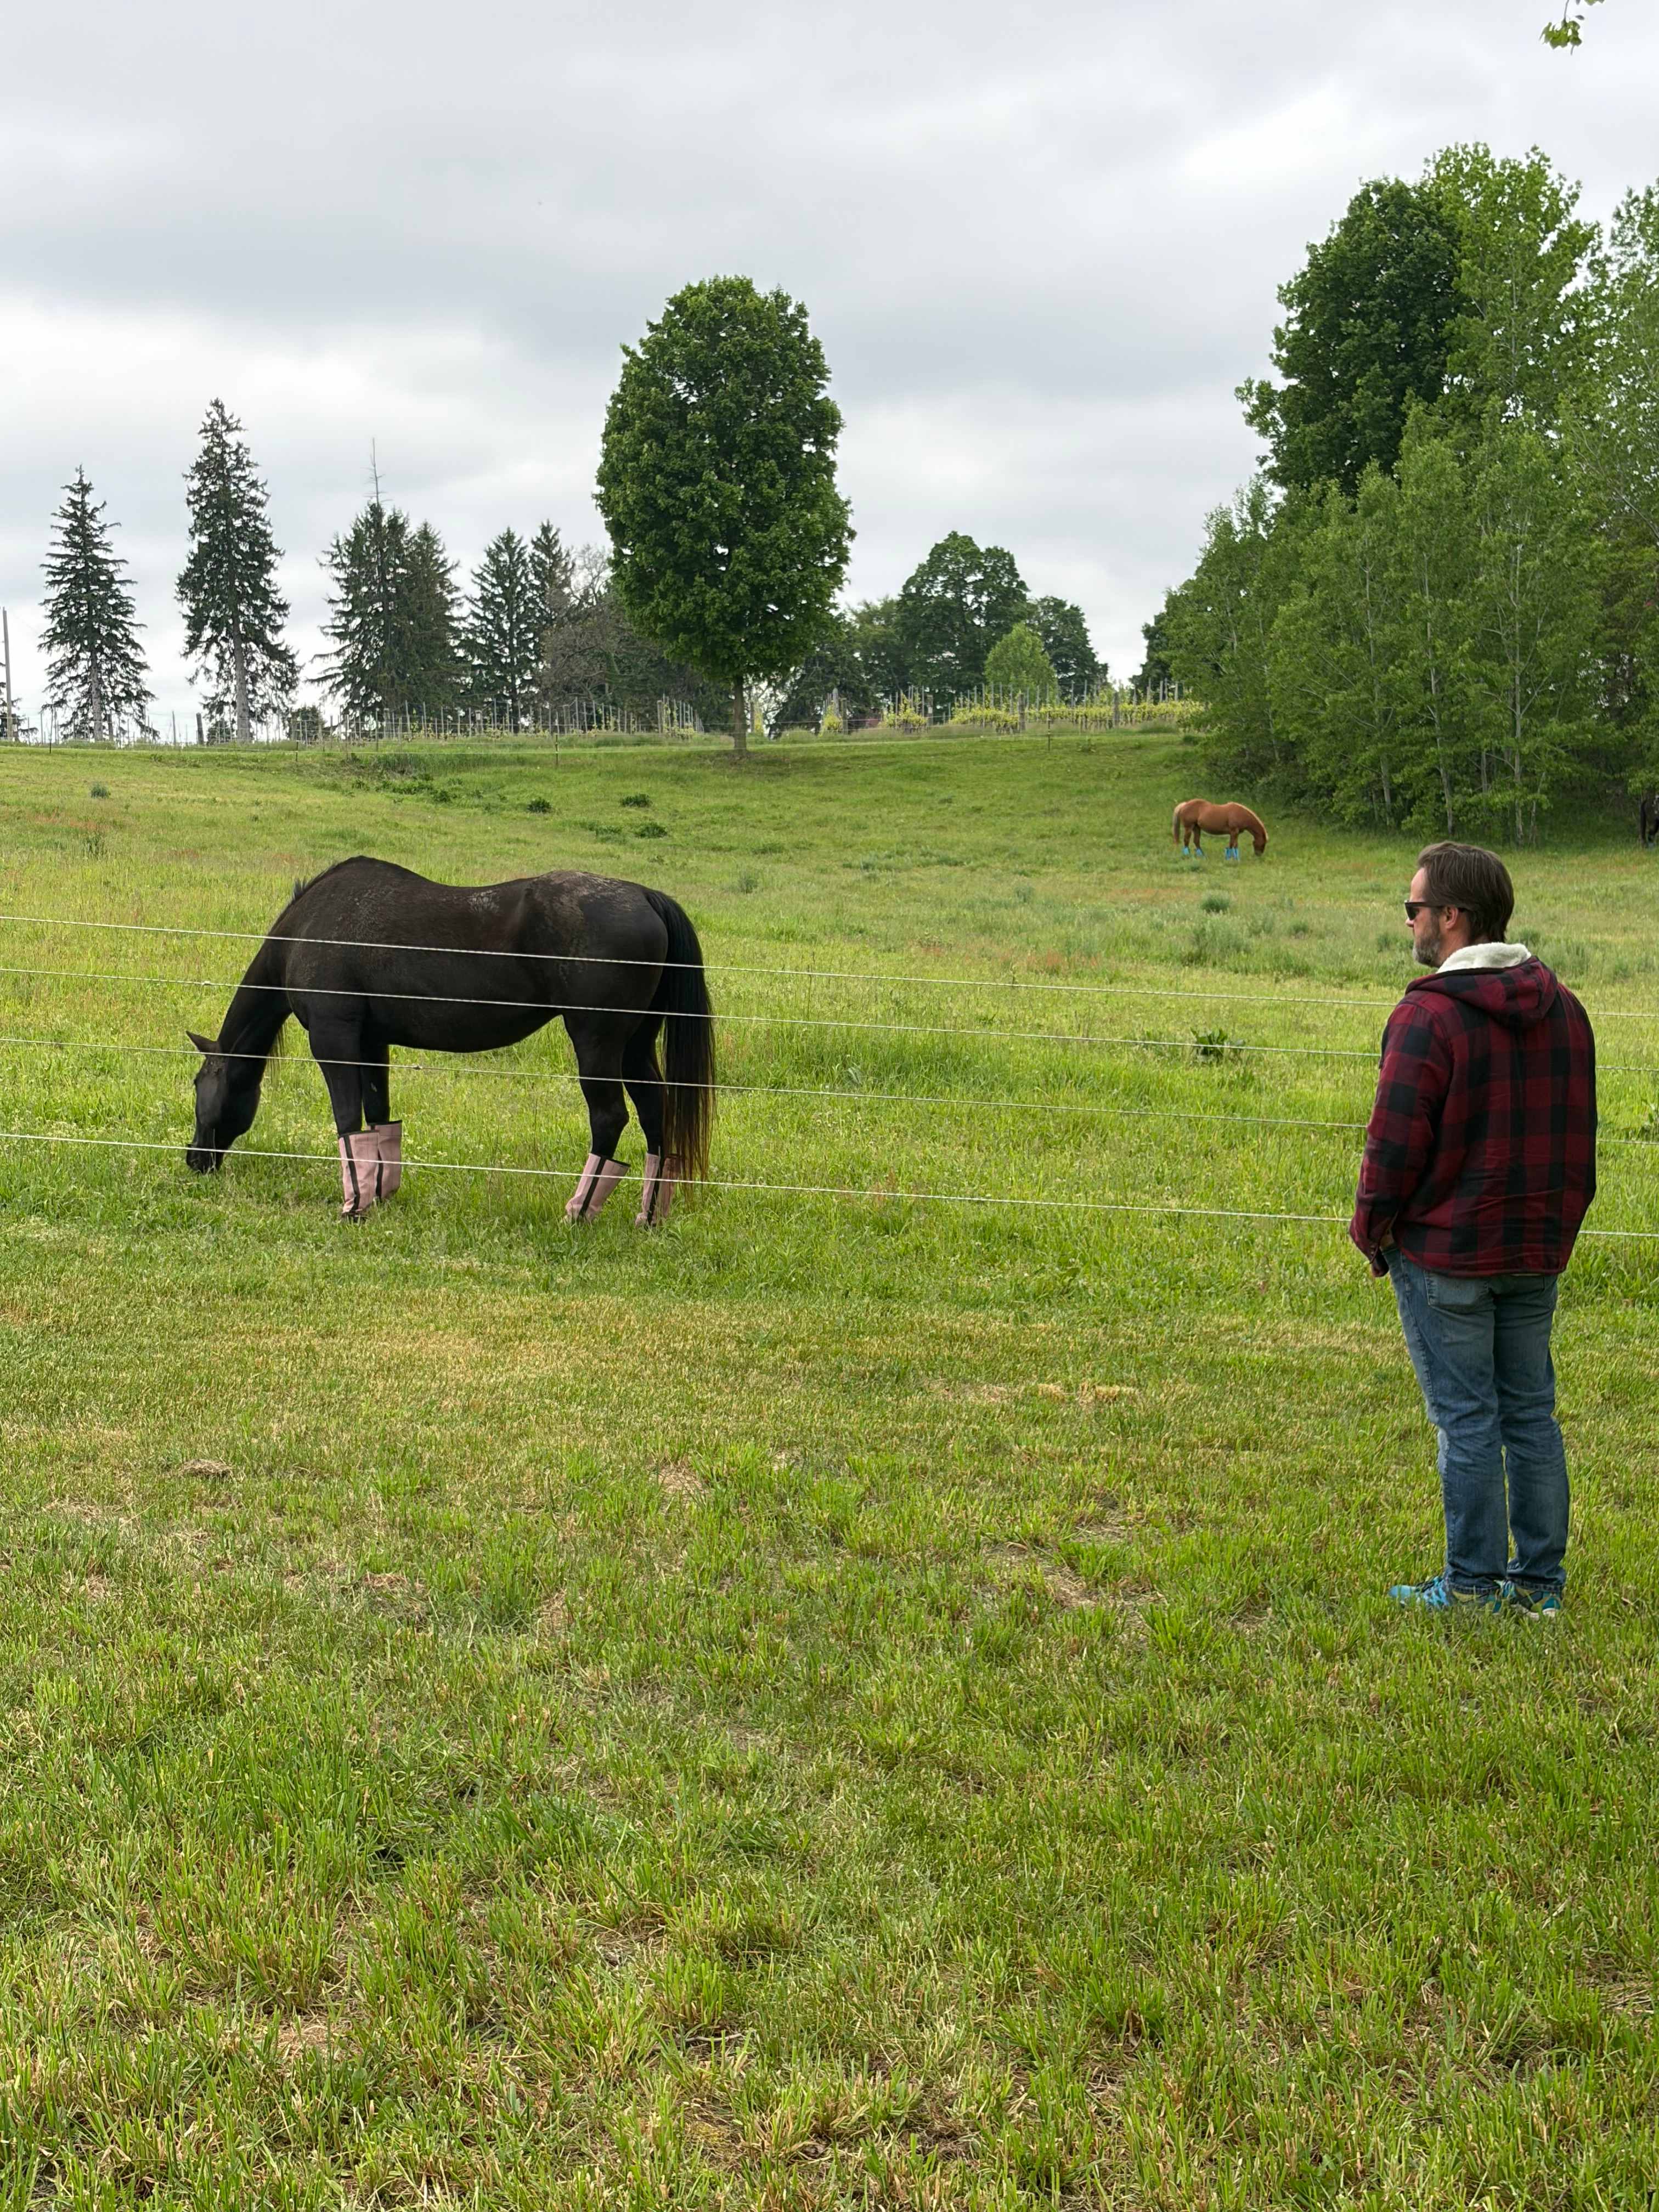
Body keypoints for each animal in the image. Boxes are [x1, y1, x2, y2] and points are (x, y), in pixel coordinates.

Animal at [185, 857, 715, 1228]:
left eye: (197, 1086)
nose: (194, 1159)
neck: (308, 929)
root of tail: (644, 896)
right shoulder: (372, 1043)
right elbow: (379, 1121)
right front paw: (379, 1195)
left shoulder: (335, 1039)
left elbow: (347, 1122)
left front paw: (353, 1206)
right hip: (635, 1046)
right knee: (655, 1112)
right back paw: (648, 1216)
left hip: (597, 1042)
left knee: (610, 1118)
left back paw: (577, 1212)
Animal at [1173, 799, 1268, 861]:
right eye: (1263, 844)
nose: (1258, 855)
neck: (1241, 814)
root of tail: (1185, 804)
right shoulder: (1234, 832)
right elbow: (1231, 845)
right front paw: (1229, 859)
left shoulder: (1236, 833)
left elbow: (1235, 845)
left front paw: (1237, 859)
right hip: (1189, 828)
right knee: (1186, 841)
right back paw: (1188, 856)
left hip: (1197, 828)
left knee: (1196, 842)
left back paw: (1203, 857)